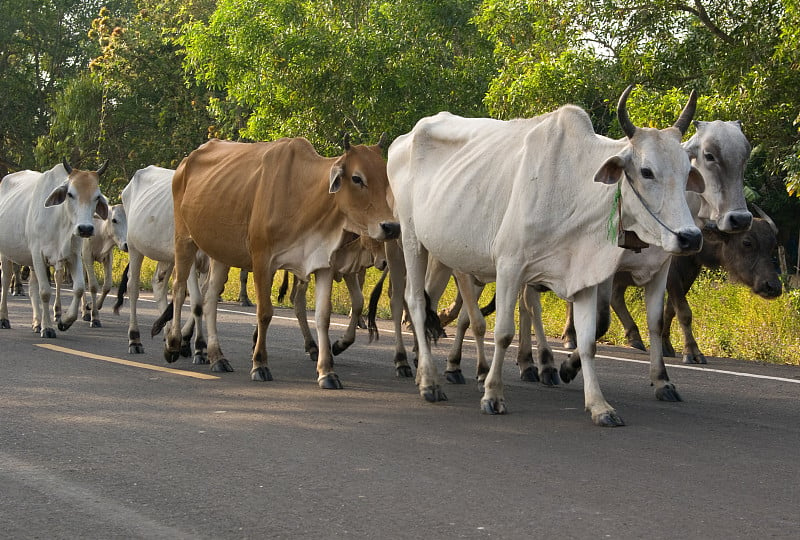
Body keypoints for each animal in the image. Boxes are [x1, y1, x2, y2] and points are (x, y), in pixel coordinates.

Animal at [0, 160, 109, 338]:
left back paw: (36, 323)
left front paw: (64, 321)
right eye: (70, 194)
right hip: (6, 254)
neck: (61, 222)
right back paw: (4, 319)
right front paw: (48, 328)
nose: (85, 229)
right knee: (6, 280)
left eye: (97, 196)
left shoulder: (73, 256)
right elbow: (45, 292)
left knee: (32, 288)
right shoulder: (38, 255)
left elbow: (79, 288)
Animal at [118, 163, 208, 358]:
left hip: (166, 256)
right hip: (134, 247)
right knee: (132, 286)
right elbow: (195, 300)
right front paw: (198, 347)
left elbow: (202, 300)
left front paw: (184, 341)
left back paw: (167, 334)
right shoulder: (189, 260)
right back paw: (135, 339)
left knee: (158, 285)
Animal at [166, 135, 400, 388]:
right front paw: (260, 364)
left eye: (385, 177)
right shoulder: (262, 261)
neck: (304, 194)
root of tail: (185, 162)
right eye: (357, 178)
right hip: (184, 239)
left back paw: (217, 357)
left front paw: (327, 372)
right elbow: (265, 313)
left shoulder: (323, 264)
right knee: (179, 288)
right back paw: (173, 344)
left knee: (209, 299)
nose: (391, 227)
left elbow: (323, 317)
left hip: (220, 254)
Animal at [390, 87, 704, 426]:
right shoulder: (510, 265)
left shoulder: (583, 275)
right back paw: (430, 380)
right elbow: (504, 333)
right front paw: (493, 395)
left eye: (687, 172)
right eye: (646, 172)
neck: (574, 187)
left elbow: (589, 341)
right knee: (416, 302)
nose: (690, 237)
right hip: (412, 239)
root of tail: (402, 140)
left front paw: (599, 405)